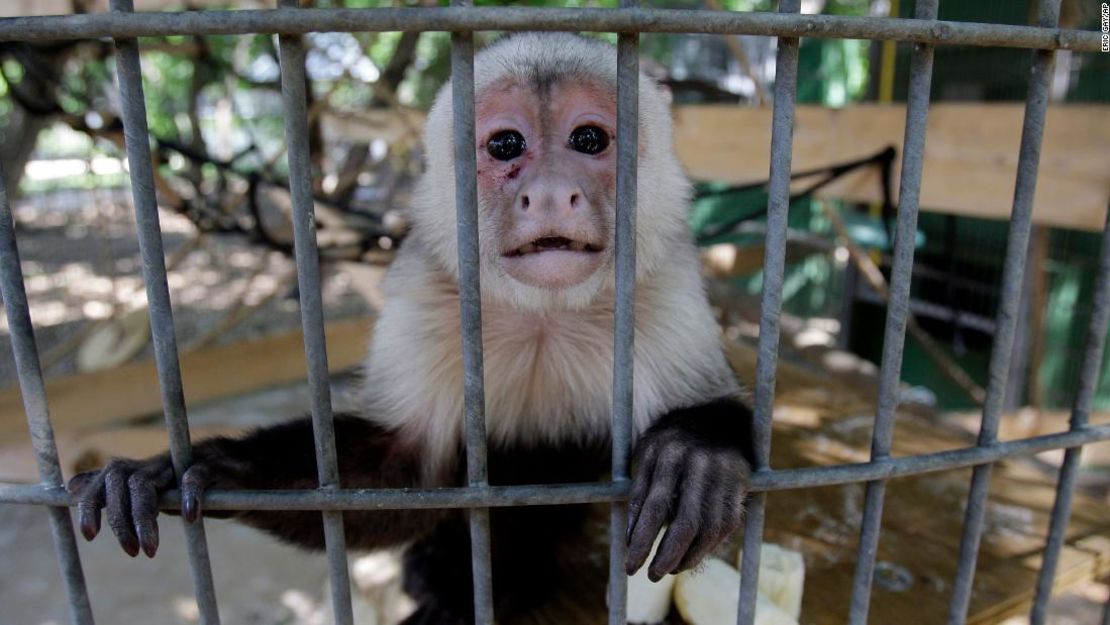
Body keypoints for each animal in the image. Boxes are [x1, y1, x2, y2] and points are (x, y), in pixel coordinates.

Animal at [69, 34, 754, 625]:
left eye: (588, 139)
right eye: (506, 146)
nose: (552, 193)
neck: (543, 314)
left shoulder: (663, 289)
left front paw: (695, 455)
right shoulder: (426, 295)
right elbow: (401, 469)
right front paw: (204, 468)